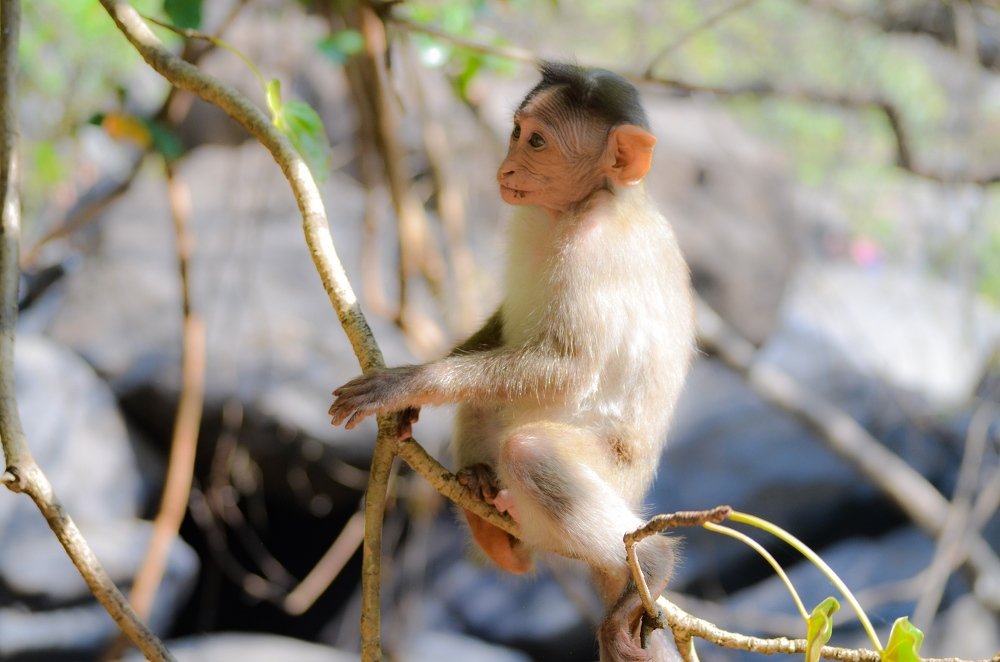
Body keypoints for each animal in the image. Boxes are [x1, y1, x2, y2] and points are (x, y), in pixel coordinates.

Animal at [330, 62, 695, 661]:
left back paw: (650, 560)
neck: (580, 205)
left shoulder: (593, 250)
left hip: (615, 474)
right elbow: (502, 325)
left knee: (529, 450)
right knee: (484, 402)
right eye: (517, 132)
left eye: (538, 142)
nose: (506, 166)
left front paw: (407, 384)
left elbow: (569, 366)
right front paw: (410, 405)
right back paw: (492, 520)